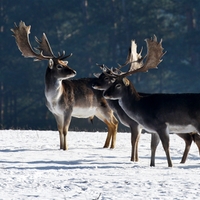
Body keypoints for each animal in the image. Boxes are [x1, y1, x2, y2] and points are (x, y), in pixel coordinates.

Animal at [10, 21, 118, 150]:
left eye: (64, 63)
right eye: (59, 66)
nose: (74, 71)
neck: (54, 100)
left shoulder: (68, 109)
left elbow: (66, 131)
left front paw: (66, 148)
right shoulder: (55, 113)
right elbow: (60, 130)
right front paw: (61, 148)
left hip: (106, 108)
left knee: (115, 123)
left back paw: (112, 147)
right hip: (98, 111)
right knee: (110, 125)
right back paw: (105, 146)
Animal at [103, 36, 200, 167]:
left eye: (118, 85)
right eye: (111, 82)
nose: (105, 93)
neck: (141, 108)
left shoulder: (161, 125)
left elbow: (165, 146)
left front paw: (170, 165)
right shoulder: (153, 130)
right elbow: (153, 146)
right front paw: (152, 165)